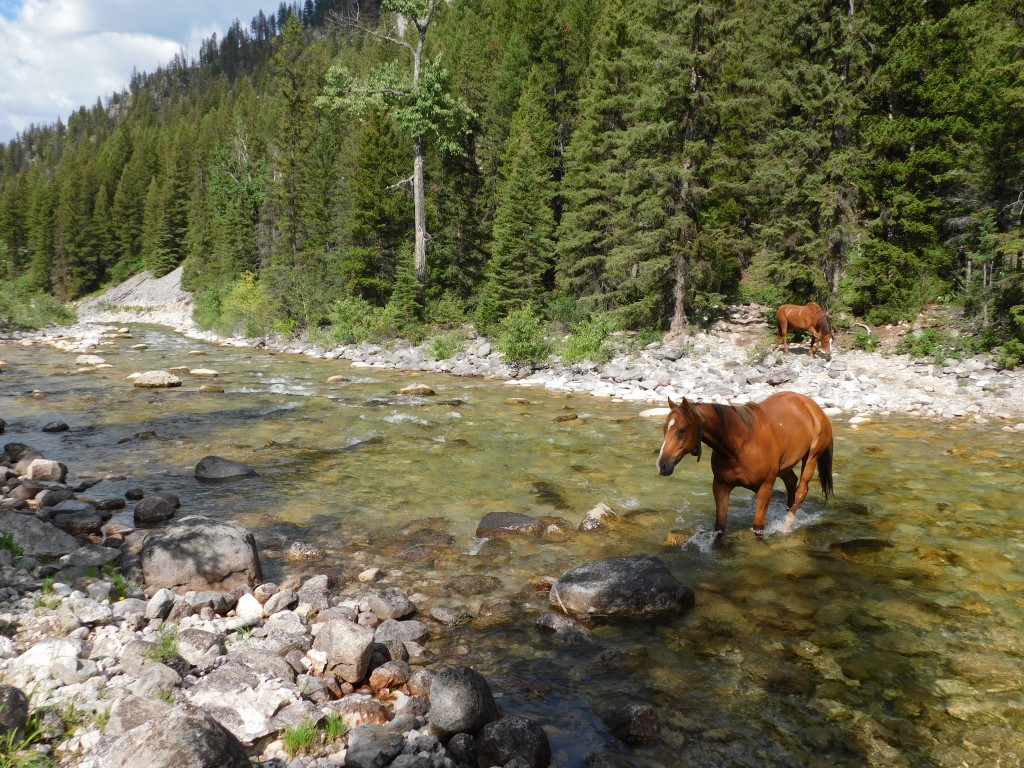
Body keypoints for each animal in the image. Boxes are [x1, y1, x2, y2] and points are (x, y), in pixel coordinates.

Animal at [655, 391, 831, 540]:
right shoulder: (721, 487)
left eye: (681, 430)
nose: (662, 465)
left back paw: (786, 525)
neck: (742, 444)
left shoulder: (765, 488)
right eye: (665, 428)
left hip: (811, 457)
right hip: (784, 465)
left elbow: (758, 527)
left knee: (801, 491)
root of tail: (812, 406)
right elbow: (719, 527)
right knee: (791, 482)